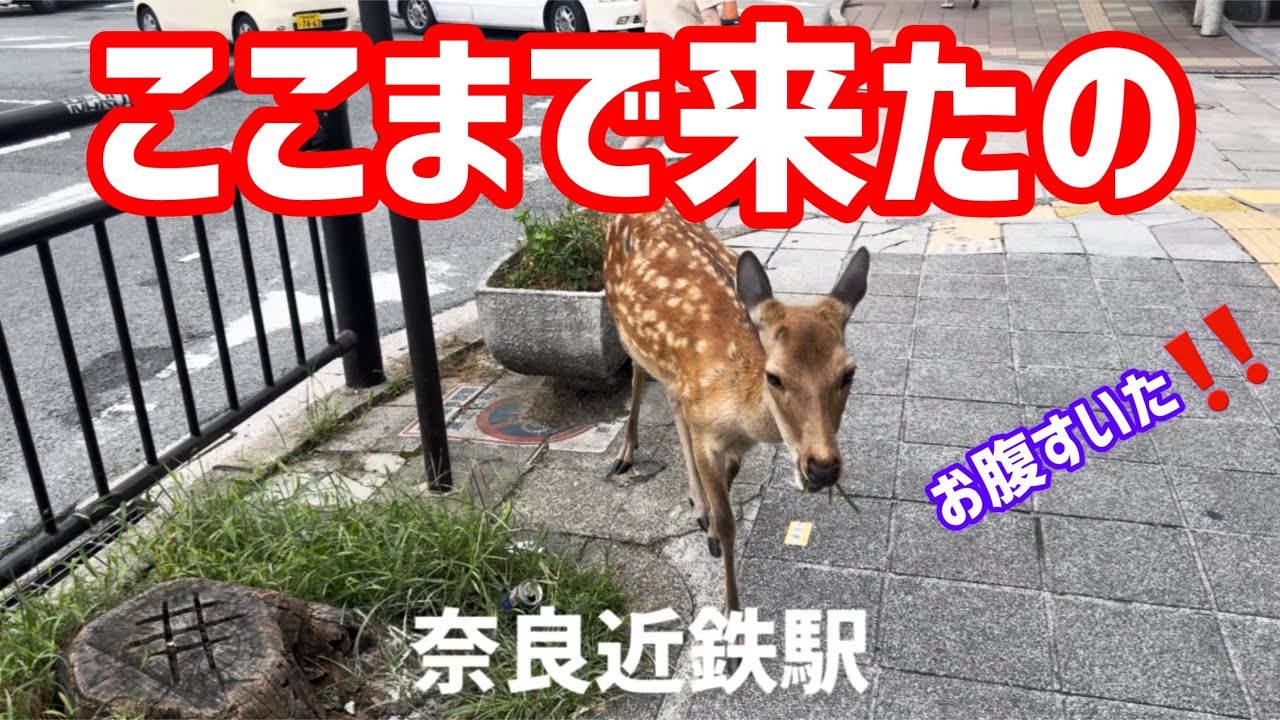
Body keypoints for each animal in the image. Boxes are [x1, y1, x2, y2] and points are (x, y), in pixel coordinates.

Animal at [603, 202, 870, 616]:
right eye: (774, 376)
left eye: (849, 372)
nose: (823, 468)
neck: (742, 417)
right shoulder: (707, 433)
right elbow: (730, 522)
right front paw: (733, 617)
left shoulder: (731, 440)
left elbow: (726, 487)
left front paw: (708, 523)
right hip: (623, 323)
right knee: (636, 373)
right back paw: (626, 453)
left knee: (672, 400)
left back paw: (696, 504)